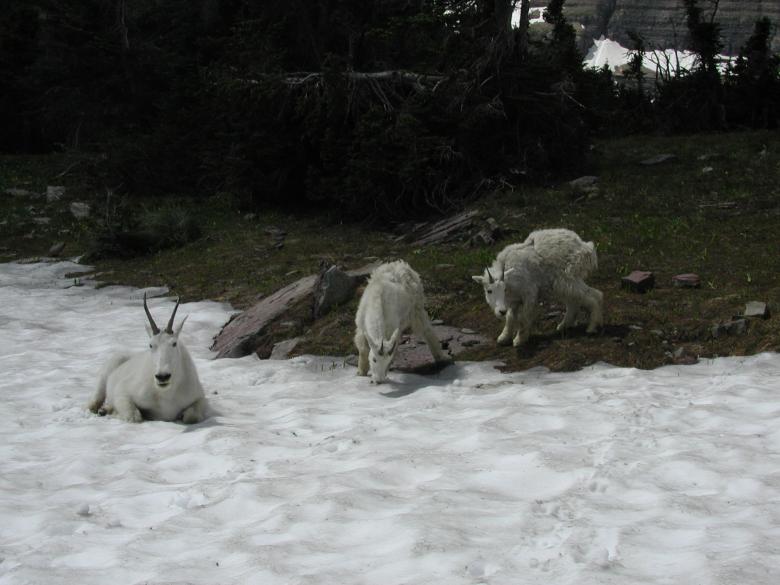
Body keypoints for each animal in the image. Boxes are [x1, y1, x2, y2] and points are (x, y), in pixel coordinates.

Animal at [87, 294, 208, 423]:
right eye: (150, 345)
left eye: (174, 343)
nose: (162, 377)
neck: (167, 394)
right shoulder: (122, 391)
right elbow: (134, 416)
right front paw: (116, 414)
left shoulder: (200, 397)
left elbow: (192, 416)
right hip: (105, 375)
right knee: (94, 401)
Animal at [472, 228, 603, 347]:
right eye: (489, 291)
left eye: (504, 289)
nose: (501, 311)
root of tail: (586, 247)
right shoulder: (514, 301)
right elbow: (510, 317)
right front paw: (503, 338)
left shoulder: (529, 293)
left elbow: (524, 317)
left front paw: (519, 340)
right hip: (563, 284)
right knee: (575, 300)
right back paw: (564, 325)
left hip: (567, 278)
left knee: (593, 295)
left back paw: (592, 327)